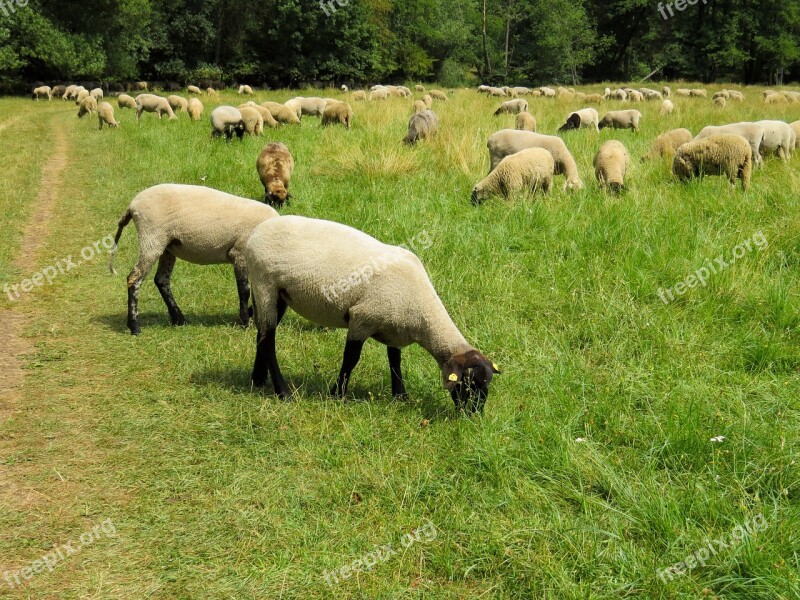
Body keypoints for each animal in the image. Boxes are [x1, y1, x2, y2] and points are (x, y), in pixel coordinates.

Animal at [109, 183, 278, 336]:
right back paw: (134, 326)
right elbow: (244, 290)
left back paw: (179, 319)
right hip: (151, 238)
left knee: (161, 280)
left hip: (167, 246)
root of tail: (132, 206)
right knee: (134, 279)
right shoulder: (239, 254)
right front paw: (245, 322)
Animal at [244, 214, 500, 412]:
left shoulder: (395, 329)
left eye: (486, 385)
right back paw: (282, 391)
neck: (422, 313)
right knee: (268, 340)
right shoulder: (362, 318)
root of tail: (256, 232)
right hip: (265, 284)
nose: (474, 415)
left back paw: (258, 379)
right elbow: (351, 359)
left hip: (277, 294)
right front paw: (337, 394)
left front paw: (400, 396)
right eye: (468, 384)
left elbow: (395, 362)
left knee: (261, 334)